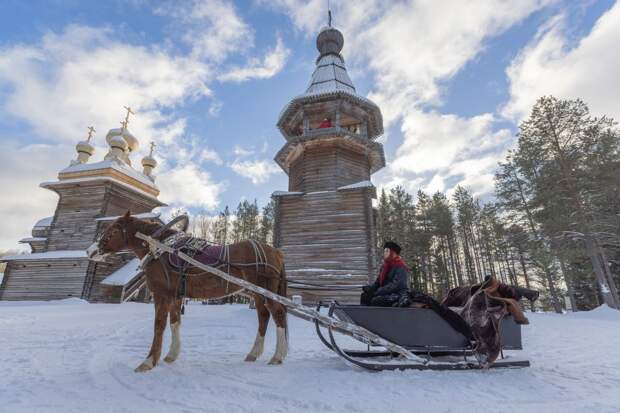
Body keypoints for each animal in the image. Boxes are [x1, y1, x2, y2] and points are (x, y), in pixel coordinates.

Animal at [86, 211, 290, 372]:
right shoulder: (176, 297)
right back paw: (253, 353)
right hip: (258, 294)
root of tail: (276, 252)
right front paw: (171, 355)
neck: (161, 248)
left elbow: (159, 326)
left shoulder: (162, 295)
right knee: (263, 316)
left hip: (267, 291)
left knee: (278, 314)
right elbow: (175, 323)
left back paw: (277, 356)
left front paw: (149, 361)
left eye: (112, 231)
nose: (90, 251)